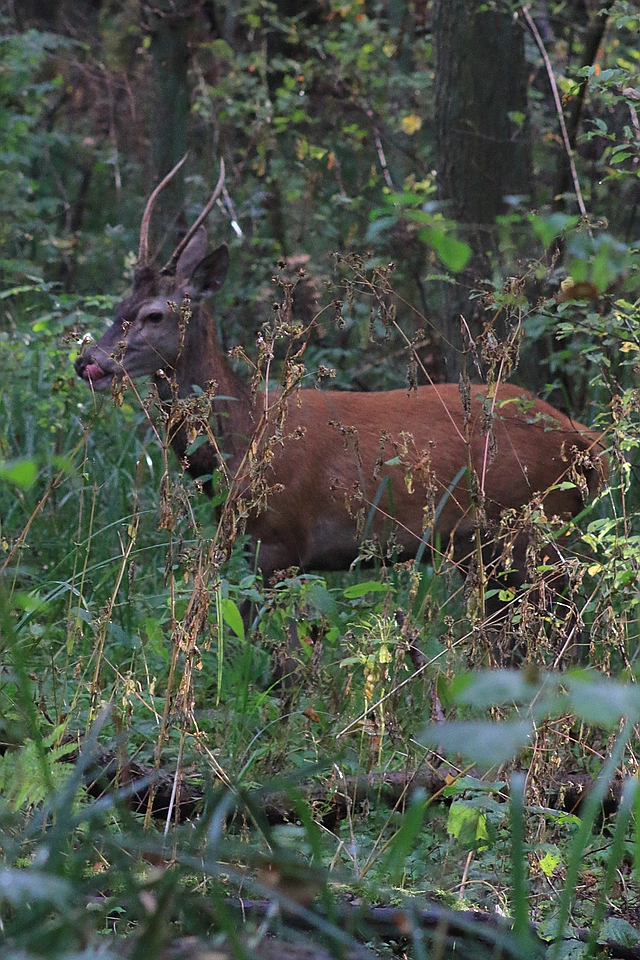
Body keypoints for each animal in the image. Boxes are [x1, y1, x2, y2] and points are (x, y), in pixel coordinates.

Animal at [76, 158, 608, 636]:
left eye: (154, 315)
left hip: (530, 528)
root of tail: (590, 444)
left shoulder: (281, 543)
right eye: (119, 305)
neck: (244, 439)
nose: (89, 362)